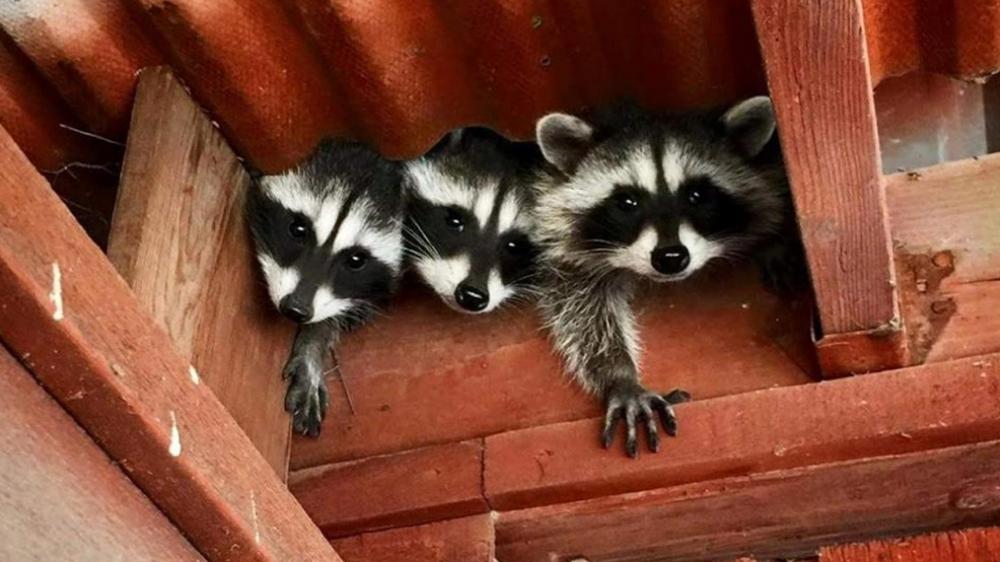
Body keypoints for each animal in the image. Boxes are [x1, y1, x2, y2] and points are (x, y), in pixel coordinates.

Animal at [532, 97, 798, 457]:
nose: (671, 257)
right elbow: (581, 311)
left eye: (697, 195)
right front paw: (619, 374)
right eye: (627, 202)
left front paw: (776, 242)